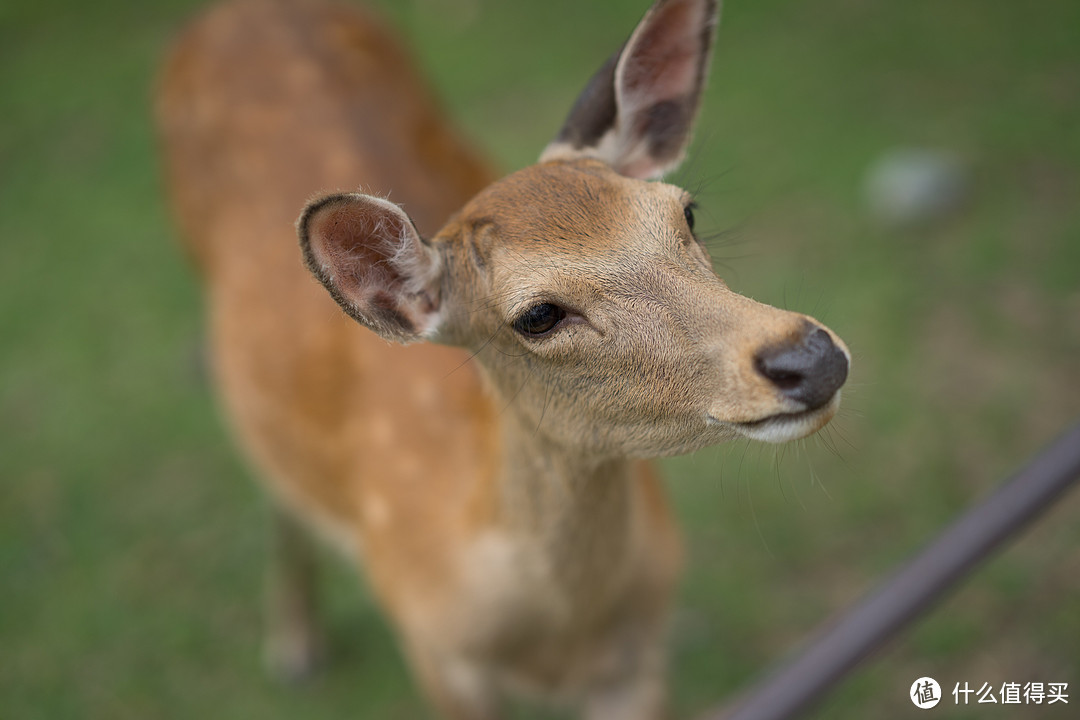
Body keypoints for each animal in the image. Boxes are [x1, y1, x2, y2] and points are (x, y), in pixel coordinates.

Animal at [157, 0, 851, 716]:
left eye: (685, 211)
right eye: (537, 316)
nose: (810, 355)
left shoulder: (640, 660)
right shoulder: (439, 656)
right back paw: (295, 648)